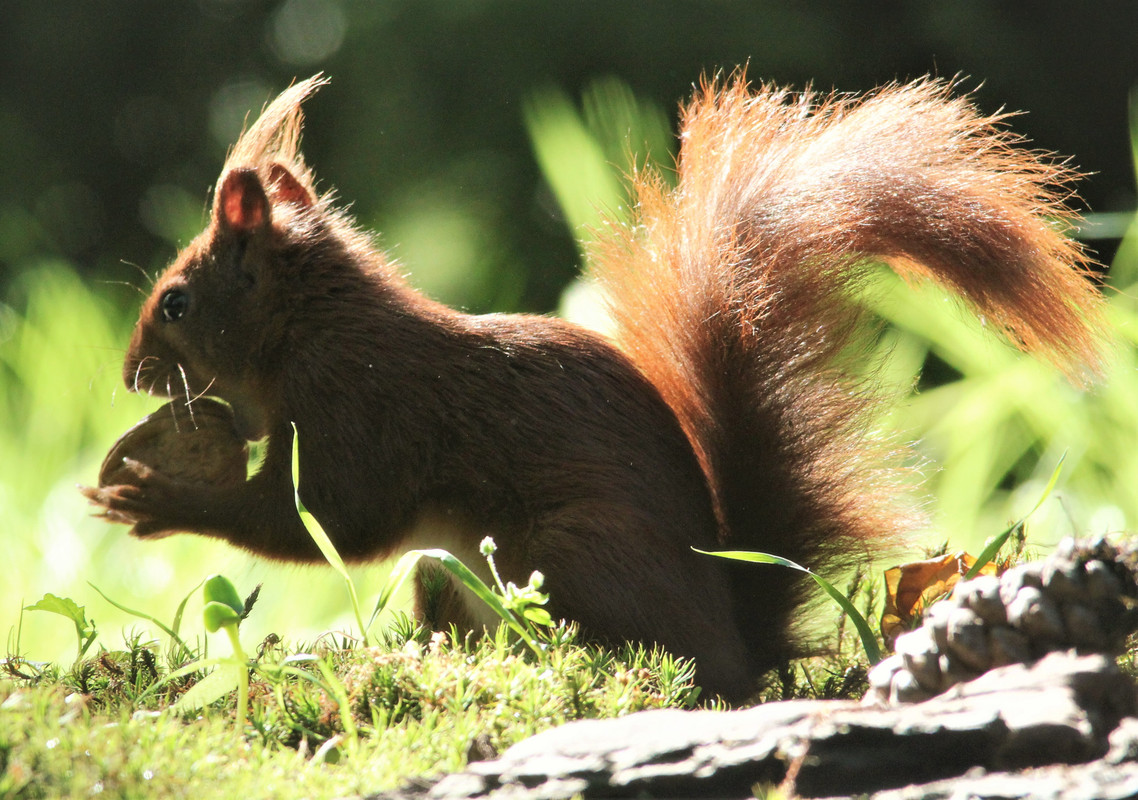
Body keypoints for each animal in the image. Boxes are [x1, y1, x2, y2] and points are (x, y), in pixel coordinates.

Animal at [84, 74, 1107, 702]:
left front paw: (155, 499)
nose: (128, 374)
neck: (313, 331)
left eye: (175, 303)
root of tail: (739, 644)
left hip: (566, 555)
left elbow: (327, 521)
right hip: (450, 572)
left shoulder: (368, 410)